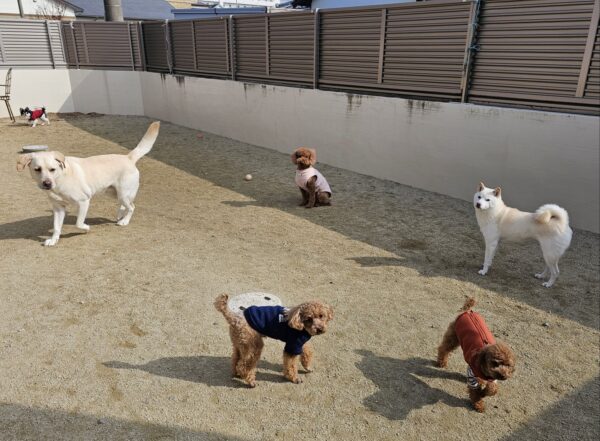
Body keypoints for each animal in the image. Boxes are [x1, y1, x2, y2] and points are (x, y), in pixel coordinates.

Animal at [16, 121, 160, 246]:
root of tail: (128, 158)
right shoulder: (58, 208)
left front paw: (86, 228)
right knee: (125, 205)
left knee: (132, 207)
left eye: (52, 169)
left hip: (123, 193)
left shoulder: (83, 202)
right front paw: (53, 240)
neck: (60, 180)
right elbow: (56, 227)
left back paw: (124, 221)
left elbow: (78, 223)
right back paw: (120, 215)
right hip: (114, 193)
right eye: (37, 169)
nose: (47, 183)